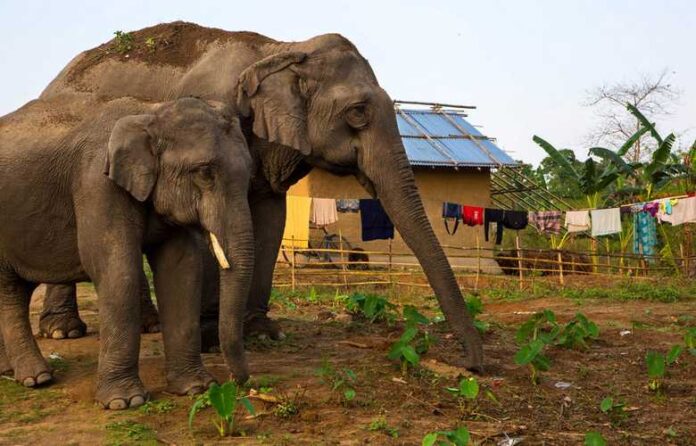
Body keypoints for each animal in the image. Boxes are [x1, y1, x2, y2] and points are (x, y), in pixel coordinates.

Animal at [0, 96, 254, 408]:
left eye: (250, 173)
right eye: (205, 172)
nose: (239, 383)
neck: (150, 112)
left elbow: (182, 271)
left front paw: (196, 388)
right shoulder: (97, 184)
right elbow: (117, 270)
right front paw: (125, 402)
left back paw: (10, 371)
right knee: (9, 292)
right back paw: (37, 379)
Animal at [37, 21, 484, 371]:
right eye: (357, 112)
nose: (470, 365)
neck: (282, 49)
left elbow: (269, 221)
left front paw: (261, 332)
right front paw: (210, 336)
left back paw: (146, 324)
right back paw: (62, 331)